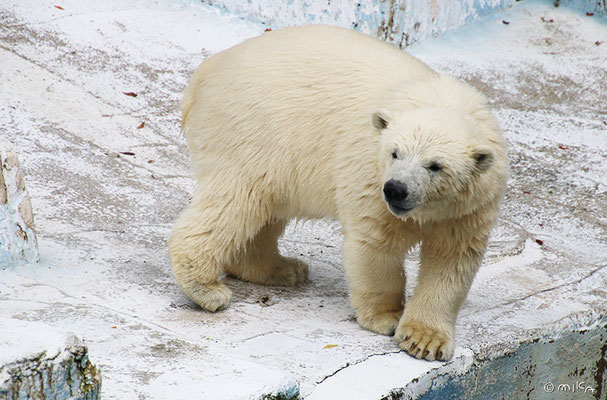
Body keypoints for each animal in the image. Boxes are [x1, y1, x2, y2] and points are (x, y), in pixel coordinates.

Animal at [170, 25, 508, 362]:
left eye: (435, 166)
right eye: (394, 152)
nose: (396, 190)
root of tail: (206, 73)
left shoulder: (469, 206)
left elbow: (452, 261)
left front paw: (425, 340)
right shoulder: (369, 172)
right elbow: (376, 243)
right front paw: (386, 317)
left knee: (266, 210)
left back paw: (282, 269)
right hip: (255, 132)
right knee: (238, 200)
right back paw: (206, 288)